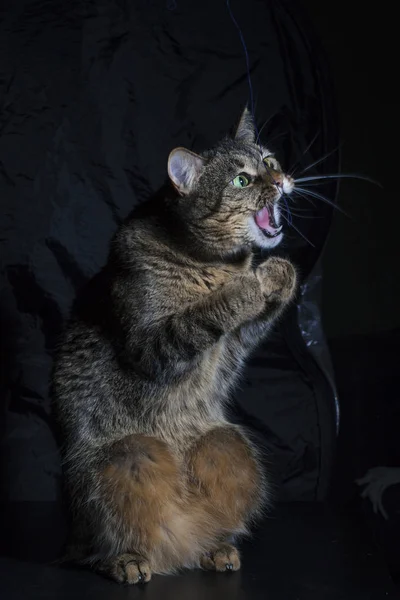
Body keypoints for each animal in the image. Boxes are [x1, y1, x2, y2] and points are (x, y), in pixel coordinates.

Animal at [52, 106, 296, 580]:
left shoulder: (232, 349)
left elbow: (251, 320)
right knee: (103, 543)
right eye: (242, 180)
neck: (217, 263)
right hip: (125, 458)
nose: (280, 180)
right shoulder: (150, 347)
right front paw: (244, 288)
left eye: (270, 161)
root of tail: (176, 543)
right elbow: (201, 316)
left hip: (228, 445)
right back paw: (128, 559)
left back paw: (214, 547)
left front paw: (279, 275)